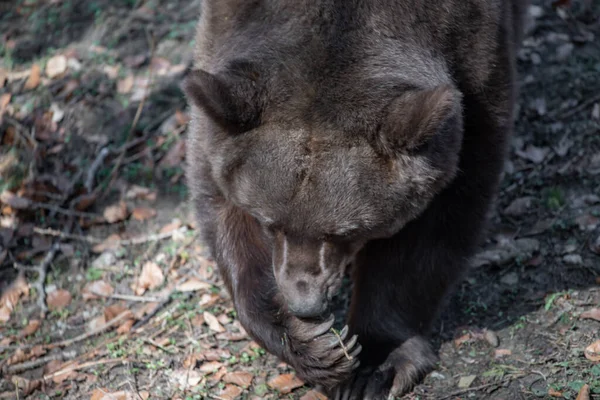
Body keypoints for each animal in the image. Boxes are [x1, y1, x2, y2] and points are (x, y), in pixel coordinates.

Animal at [185, 0, 528, 396]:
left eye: (346, 232)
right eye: (270, 223)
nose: (305, 303)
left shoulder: (471, 58)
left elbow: (440, 218)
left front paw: (375, 366)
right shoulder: (226, 45)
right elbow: (217, 197)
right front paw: (314, 344)